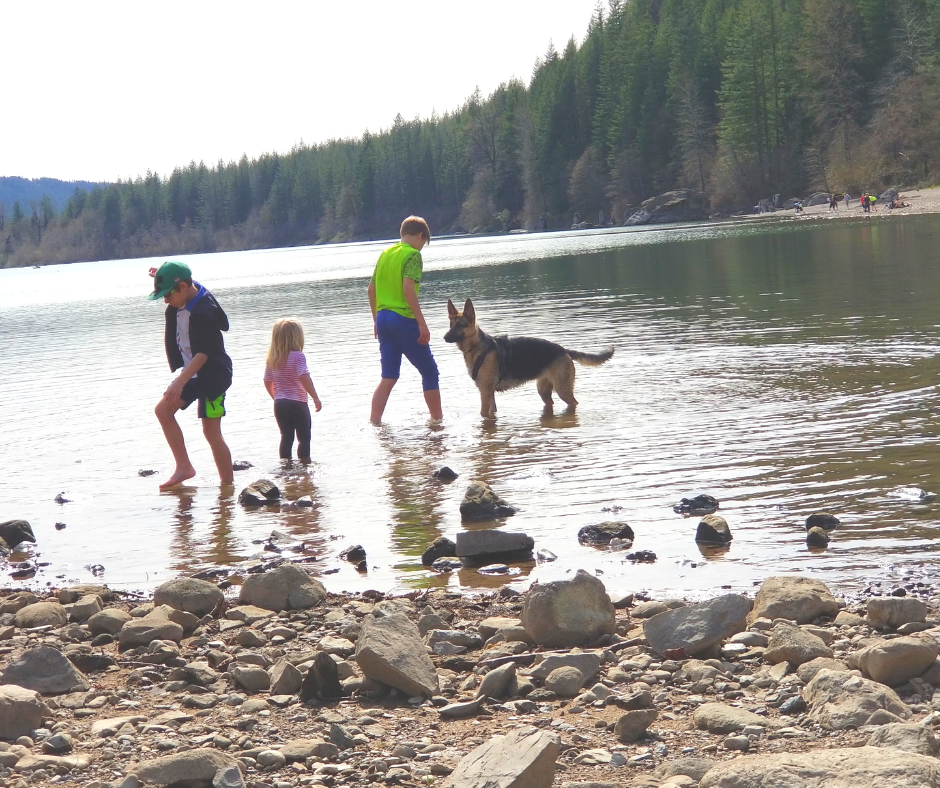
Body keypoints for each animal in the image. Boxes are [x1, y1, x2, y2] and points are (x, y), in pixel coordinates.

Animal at [446, 298, 616, 418]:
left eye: (460, 325)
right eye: (450, 325)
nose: (444, 337)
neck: (477, 346)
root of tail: (563, 349)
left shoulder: (485, 393)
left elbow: (483, 414)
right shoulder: (490, 394)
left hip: (563, 390)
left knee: (573, 403)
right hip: (544, 392)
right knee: (551, 402)